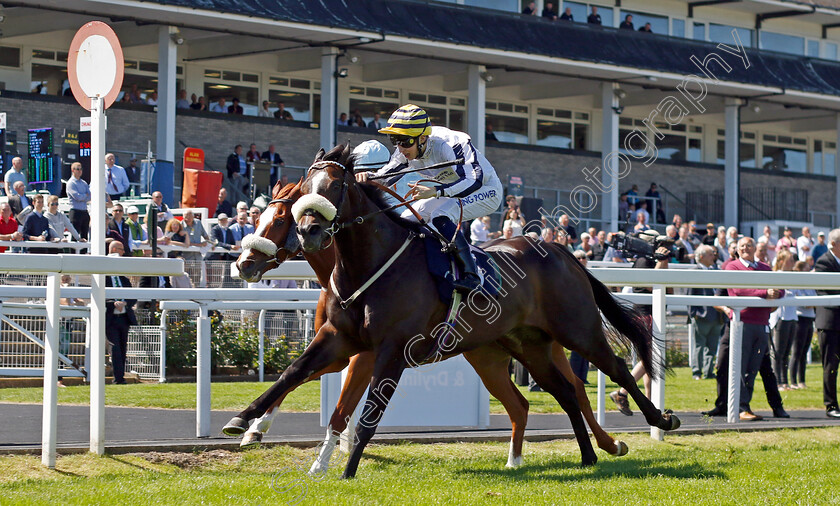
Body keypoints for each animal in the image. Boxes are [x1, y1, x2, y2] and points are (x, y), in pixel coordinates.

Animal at [226, 143, 680, 478]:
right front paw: (245, 422)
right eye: (305, 187)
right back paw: (586, 456)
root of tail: (562, 252)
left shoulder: (387, 351)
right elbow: (292, 374)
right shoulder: (339, 341)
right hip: (523, 347)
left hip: (577, 329)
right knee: (562, 393)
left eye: (335, 187)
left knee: (615, 370)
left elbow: (365, 415)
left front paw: (346, 471)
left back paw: (655, 422)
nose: (310, 230)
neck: (369, 265)